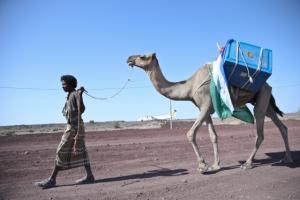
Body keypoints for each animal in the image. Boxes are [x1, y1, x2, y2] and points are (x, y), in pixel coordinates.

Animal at [127, 52, 292, 173]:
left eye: (143, 56)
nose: (129, 58)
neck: (189, 87)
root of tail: (267, 85)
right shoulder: (205, 109)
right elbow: (213, 136)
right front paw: (216, 165)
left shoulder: (205, 105)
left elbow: (190, 134)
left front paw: (203, 165)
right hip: (264, 100)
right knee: (281, 126)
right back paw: (287, 158)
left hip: (261, 97)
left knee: (260, 131)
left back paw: (247, 163)